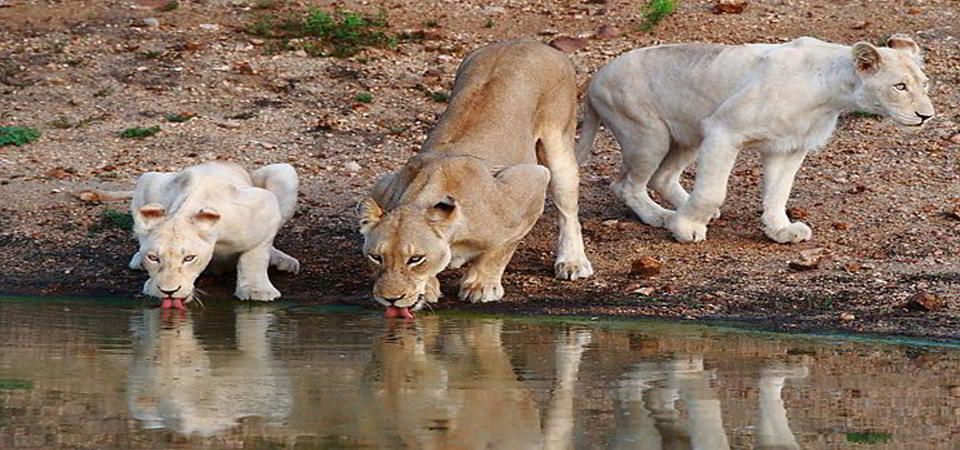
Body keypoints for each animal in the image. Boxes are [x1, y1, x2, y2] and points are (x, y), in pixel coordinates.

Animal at [94, 162, 298, 306]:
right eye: (153, 258)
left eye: (189, 258)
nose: (169, 291)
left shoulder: (264, 203)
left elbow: (256, 253)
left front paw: (257, 291)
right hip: (148, 179)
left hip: (285, 172)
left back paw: (284, 261)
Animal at [356, 39, 588, 316]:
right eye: (376, 257)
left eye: (415, 259)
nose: (390, 299)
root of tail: (523, 40)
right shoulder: (385, 185)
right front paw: (431, 288)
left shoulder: (530, 181)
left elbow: (500, 248)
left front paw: (481, 286)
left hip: (558, 145)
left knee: (568, 211)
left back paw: (572, 262)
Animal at [576, 36, 936, 243]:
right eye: (900, 86)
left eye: (925, 84)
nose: (926, 115)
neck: (831, 94)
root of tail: (594, 80)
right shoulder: (723, 130)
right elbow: (712, 191)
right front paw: (687, 228)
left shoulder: (789, 146)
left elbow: (778, 192)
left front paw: (781, 231)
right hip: (648, 135)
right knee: (626, 184)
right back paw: (662, 217)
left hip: (686, 135)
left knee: (661, 177)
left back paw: (678, 210)